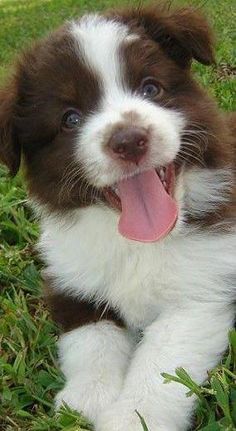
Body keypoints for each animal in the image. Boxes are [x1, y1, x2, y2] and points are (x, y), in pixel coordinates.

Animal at [0, 3, 236, 431]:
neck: (138, 240)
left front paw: (132, 416)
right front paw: (87, 398)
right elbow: (91, 340)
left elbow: (161, 362)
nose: (128, 141)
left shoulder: (201, 289)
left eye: (151, 88)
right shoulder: (71, 278)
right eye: (70, 118)